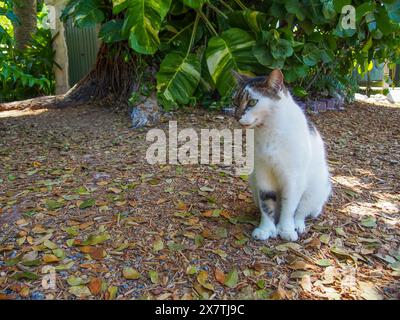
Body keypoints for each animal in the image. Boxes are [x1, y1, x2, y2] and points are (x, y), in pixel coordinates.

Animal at [231, 69, 332, 240]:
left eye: (252, 102)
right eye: (235, 102)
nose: (236, 116)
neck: (268, 131)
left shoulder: (293, 178)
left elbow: (289, 206)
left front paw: (286, 230)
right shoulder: (263, 173)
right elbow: (266, 203)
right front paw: (266, 229)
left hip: (313, 189)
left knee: (301, 212)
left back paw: (297, 226)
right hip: (253, 180)